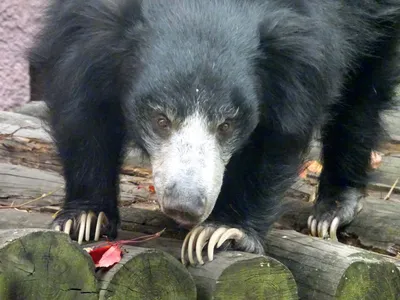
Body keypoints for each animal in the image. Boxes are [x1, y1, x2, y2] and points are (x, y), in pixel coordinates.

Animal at [29, 0, 398, 264]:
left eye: (226, 125)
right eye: (160, 119)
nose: (185, 205)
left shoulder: (301, 52)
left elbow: (279, 130)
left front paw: (221, 231)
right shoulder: (83, 28)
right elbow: (82, 108)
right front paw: (85, 218)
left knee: (362, 95)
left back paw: (332, 209)